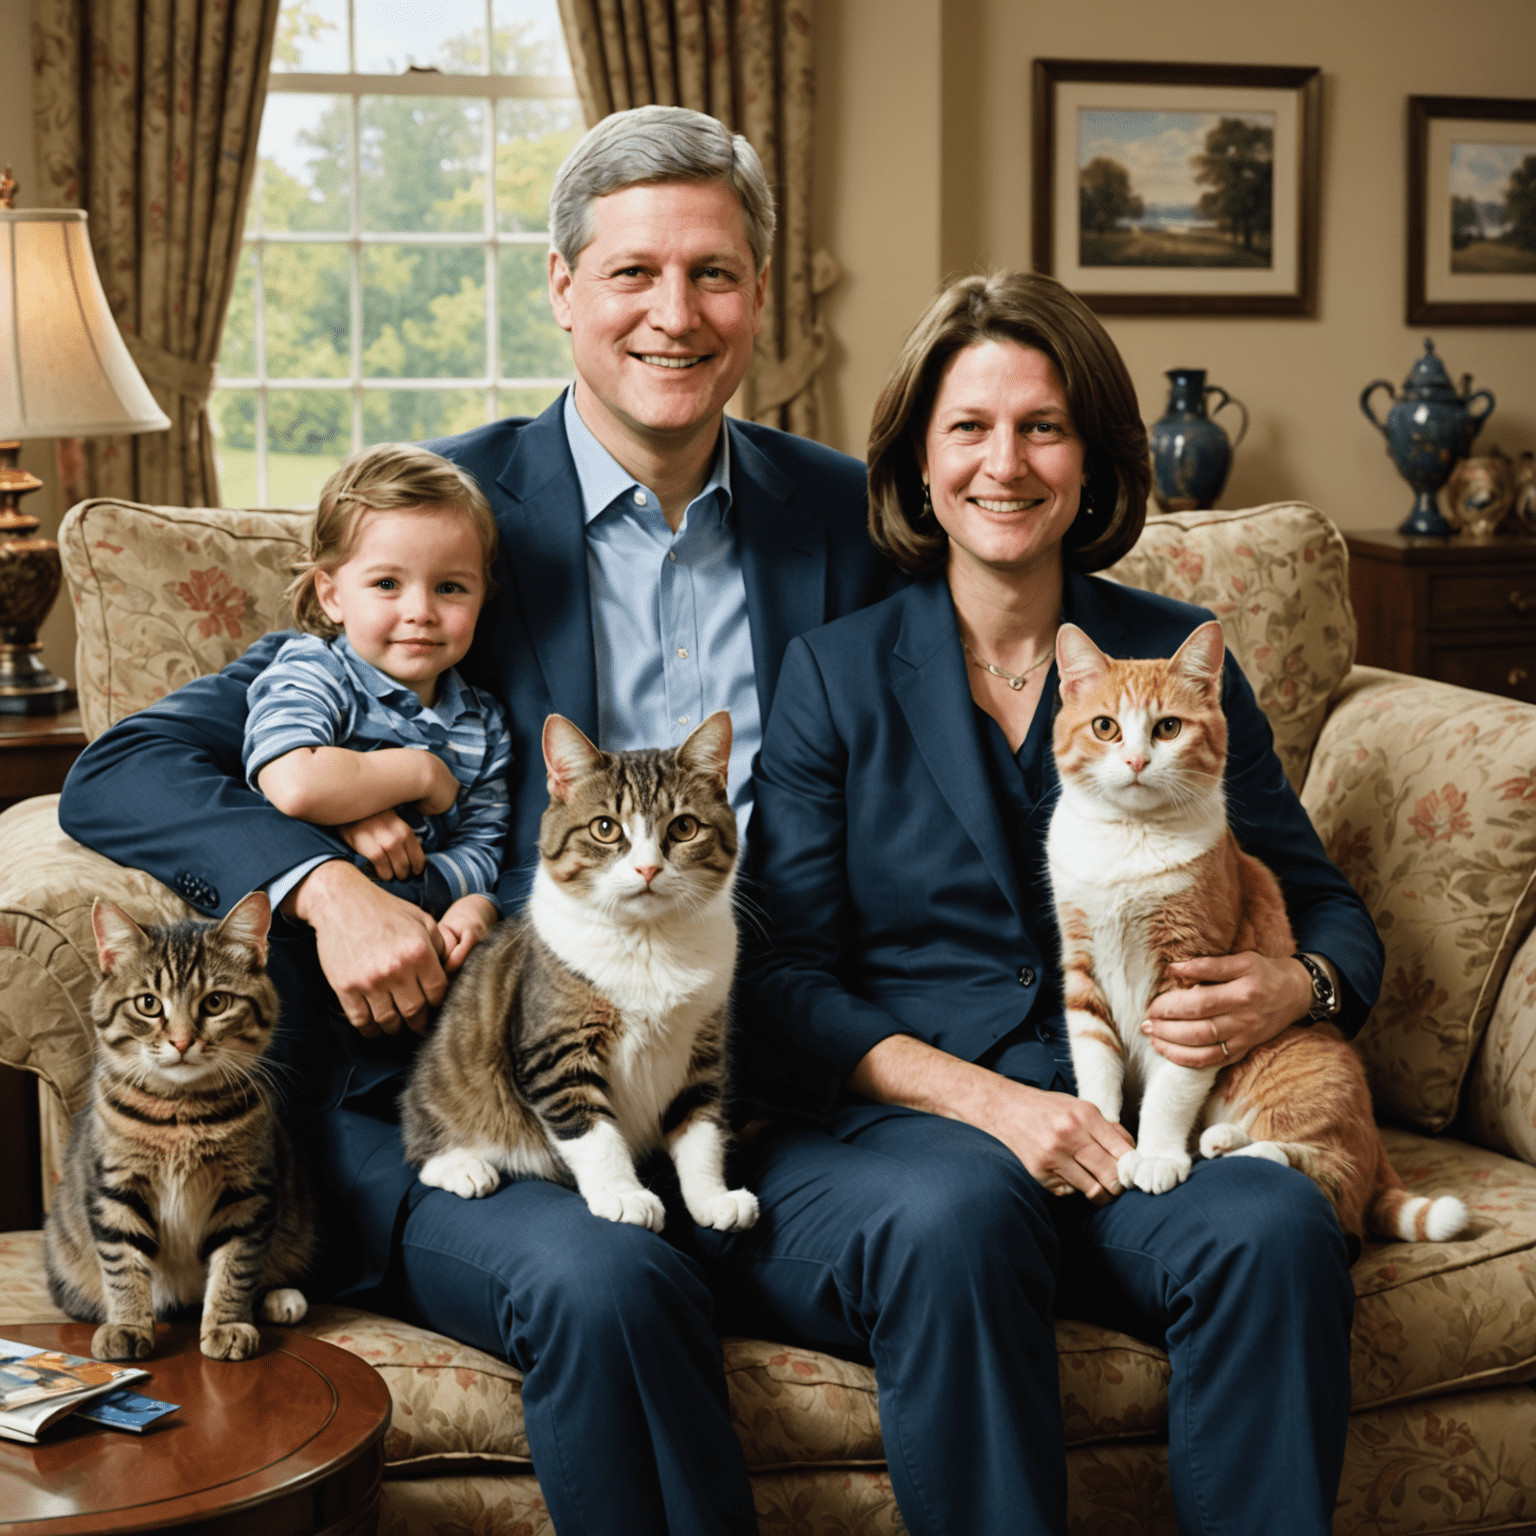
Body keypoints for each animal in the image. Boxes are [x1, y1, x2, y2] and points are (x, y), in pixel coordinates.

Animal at [43, 897, 311, 1363]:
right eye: (149, 1004)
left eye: (216, 1002)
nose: (183, 1041)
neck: (180, 1113)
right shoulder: (115, 1187)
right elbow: (123, 1266)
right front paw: (128, 1325)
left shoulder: (248, 1191)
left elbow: (236, 1265)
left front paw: (226, 1324)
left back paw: (281, 1297)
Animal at [396, 709, 755, 1234]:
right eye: (605, 828)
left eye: (685, 827)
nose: (648, 869)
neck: (648, 941)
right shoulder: (555, 1049)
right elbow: (592, 1132)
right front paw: (623, 1195)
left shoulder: (703, 1043)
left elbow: (700, 1130)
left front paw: (712, 1198)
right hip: (445, 1078)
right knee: (424, 1136)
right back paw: (463, 1166)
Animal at [1044, 623, 1462, 1247]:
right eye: (1105, 727)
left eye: (1168, 728)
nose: (1138, 759)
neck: (1128, 839)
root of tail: (1377, 1147)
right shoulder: (1082, 968)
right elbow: (1096, 1068)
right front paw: (1101, 1140)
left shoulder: (1190, 991)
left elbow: (1169, 1092)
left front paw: (1156, 1155)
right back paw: (1222, 1142)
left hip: (1295, 1062)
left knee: (1336, 1178)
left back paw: (1244, 1150)